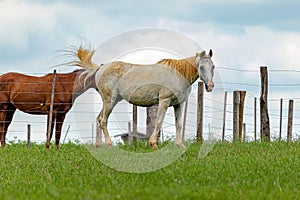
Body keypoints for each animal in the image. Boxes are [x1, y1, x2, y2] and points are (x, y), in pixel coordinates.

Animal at [67, 46, 214, 148]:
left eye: (212, 66)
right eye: (201, 66)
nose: (210, 86)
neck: (178, 73)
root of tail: (100, 69)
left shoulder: (178, 104)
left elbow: (178, 124)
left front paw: (180, 145)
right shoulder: (164, 102)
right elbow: (159, 122)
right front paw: (153, 144)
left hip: (110, 102)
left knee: (99, 119)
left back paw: (99, 145)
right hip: (110, 101)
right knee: (103, 120)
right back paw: (109, 144)